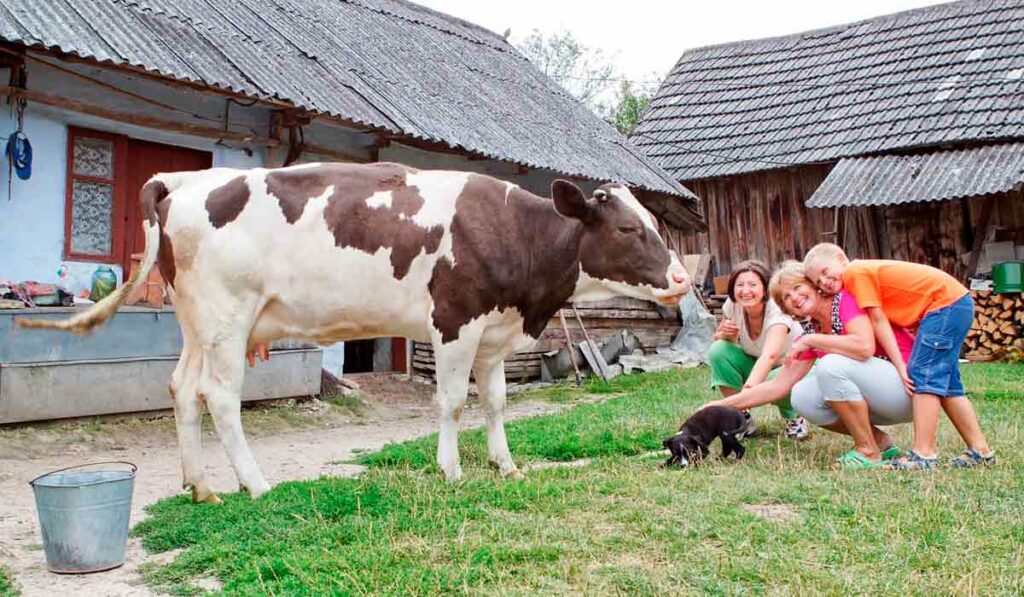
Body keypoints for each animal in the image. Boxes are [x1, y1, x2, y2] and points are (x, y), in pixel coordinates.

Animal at [24, 160, 692, 501]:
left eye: (654, 222)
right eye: (629, 230)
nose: (683, 277)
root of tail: (186, 180)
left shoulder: (493, 333)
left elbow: (497, 403)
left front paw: (506, 466)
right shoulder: (453, 322)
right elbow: (453, 402)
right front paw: (451, 471)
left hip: (197, 323)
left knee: (183, 390)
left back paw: (201, 487)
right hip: (227, 315)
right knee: (220, 397)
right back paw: (256, 484)